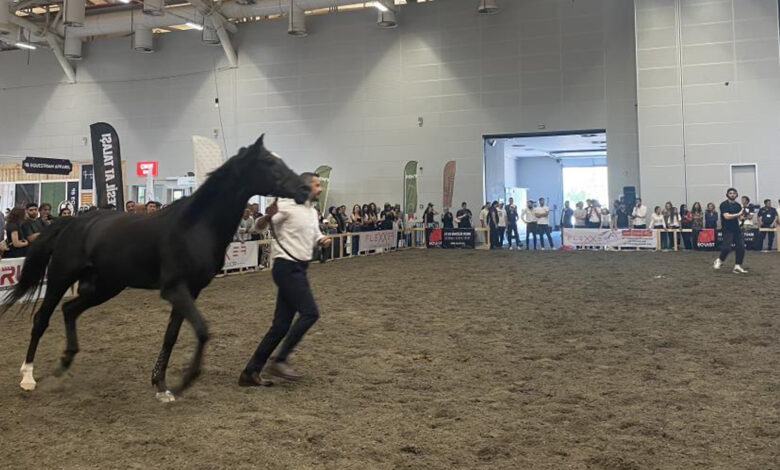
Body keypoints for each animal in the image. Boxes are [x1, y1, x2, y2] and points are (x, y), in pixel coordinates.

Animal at [2, 135, 308, 400]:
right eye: (269, 163)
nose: (304, 189)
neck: (195, 226)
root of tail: (71, 222)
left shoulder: (190, 291)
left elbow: (171, 335)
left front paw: (161, 386)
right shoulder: (174, 289)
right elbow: (202, 330)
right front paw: (185, 381)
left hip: (105, 287)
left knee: (69, 310)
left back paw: (64, 364)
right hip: (61, 278)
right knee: (42, 319)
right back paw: (28, 377)